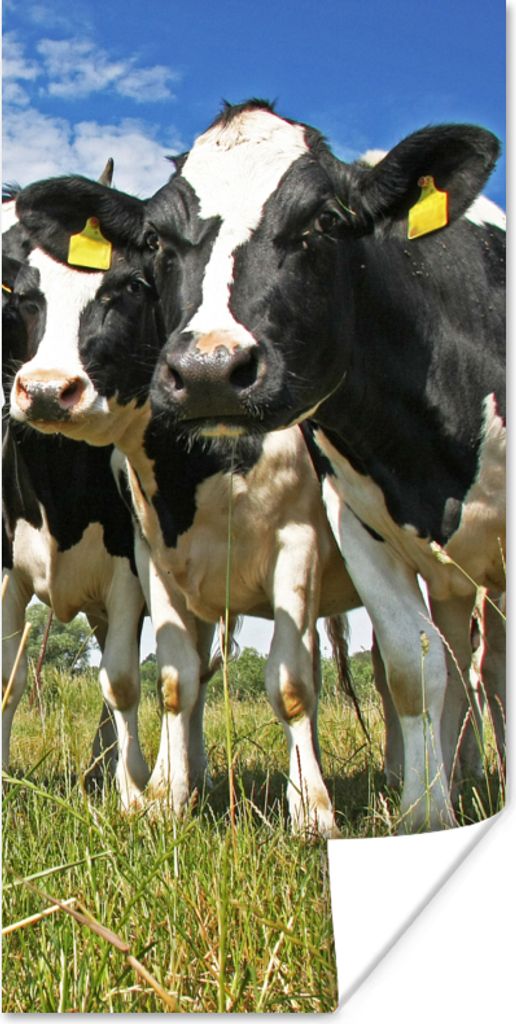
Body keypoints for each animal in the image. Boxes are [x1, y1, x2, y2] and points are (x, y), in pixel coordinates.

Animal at [6, 183, 373, 838]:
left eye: (129, 286)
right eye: (22, 295)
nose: (46, 390)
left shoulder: (293, 545)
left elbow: (287, 686)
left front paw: (311, 813)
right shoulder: (153, 559)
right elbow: (173, 682)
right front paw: (164, 799)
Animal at [136, 101, 504, 832]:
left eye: (325, 222)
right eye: (158, 239)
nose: (209, 370)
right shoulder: (358, 526)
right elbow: (411, 668)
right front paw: (425, 814)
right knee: (454, 659)